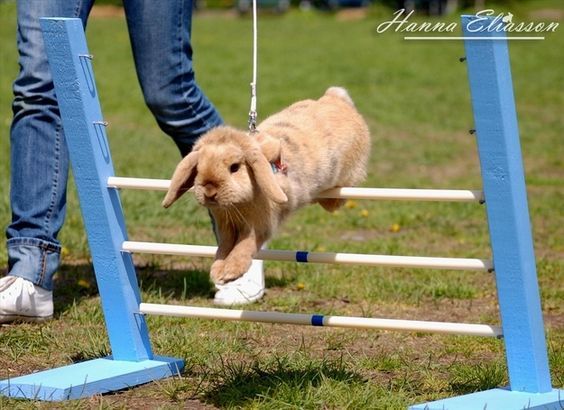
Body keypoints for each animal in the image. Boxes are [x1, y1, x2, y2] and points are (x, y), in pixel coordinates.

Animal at [162, 86, 370, 286]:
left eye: (234, 167)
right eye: (198, 168)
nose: (209, 190)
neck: (238, 204)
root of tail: (335, 98)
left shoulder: (259, 225)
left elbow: (244, 246)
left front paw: (230, 272)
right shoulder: (226, 228)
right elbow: (224, 248)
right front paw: (217, 271)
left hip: (344, 180)